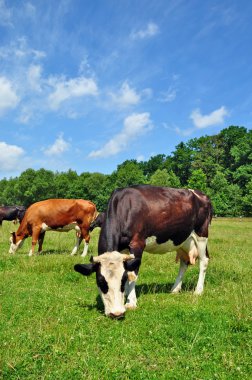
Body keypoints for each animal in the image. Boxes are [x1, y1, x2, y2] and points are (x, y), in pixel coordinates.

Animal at [74, 184, 212, 318]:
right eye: (100, 281)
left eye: (122, 281)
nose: (116, 314)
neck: (123, 208)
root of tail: (201, 194)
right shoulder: (124, 250)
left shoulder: (137, 243)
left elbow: (132, 274)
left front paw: (131, 302)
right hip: (183, 240)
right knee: (184, 263)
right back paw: (175, 289)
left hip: (201, 235)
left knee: (204, 261)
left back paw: (198, 290)